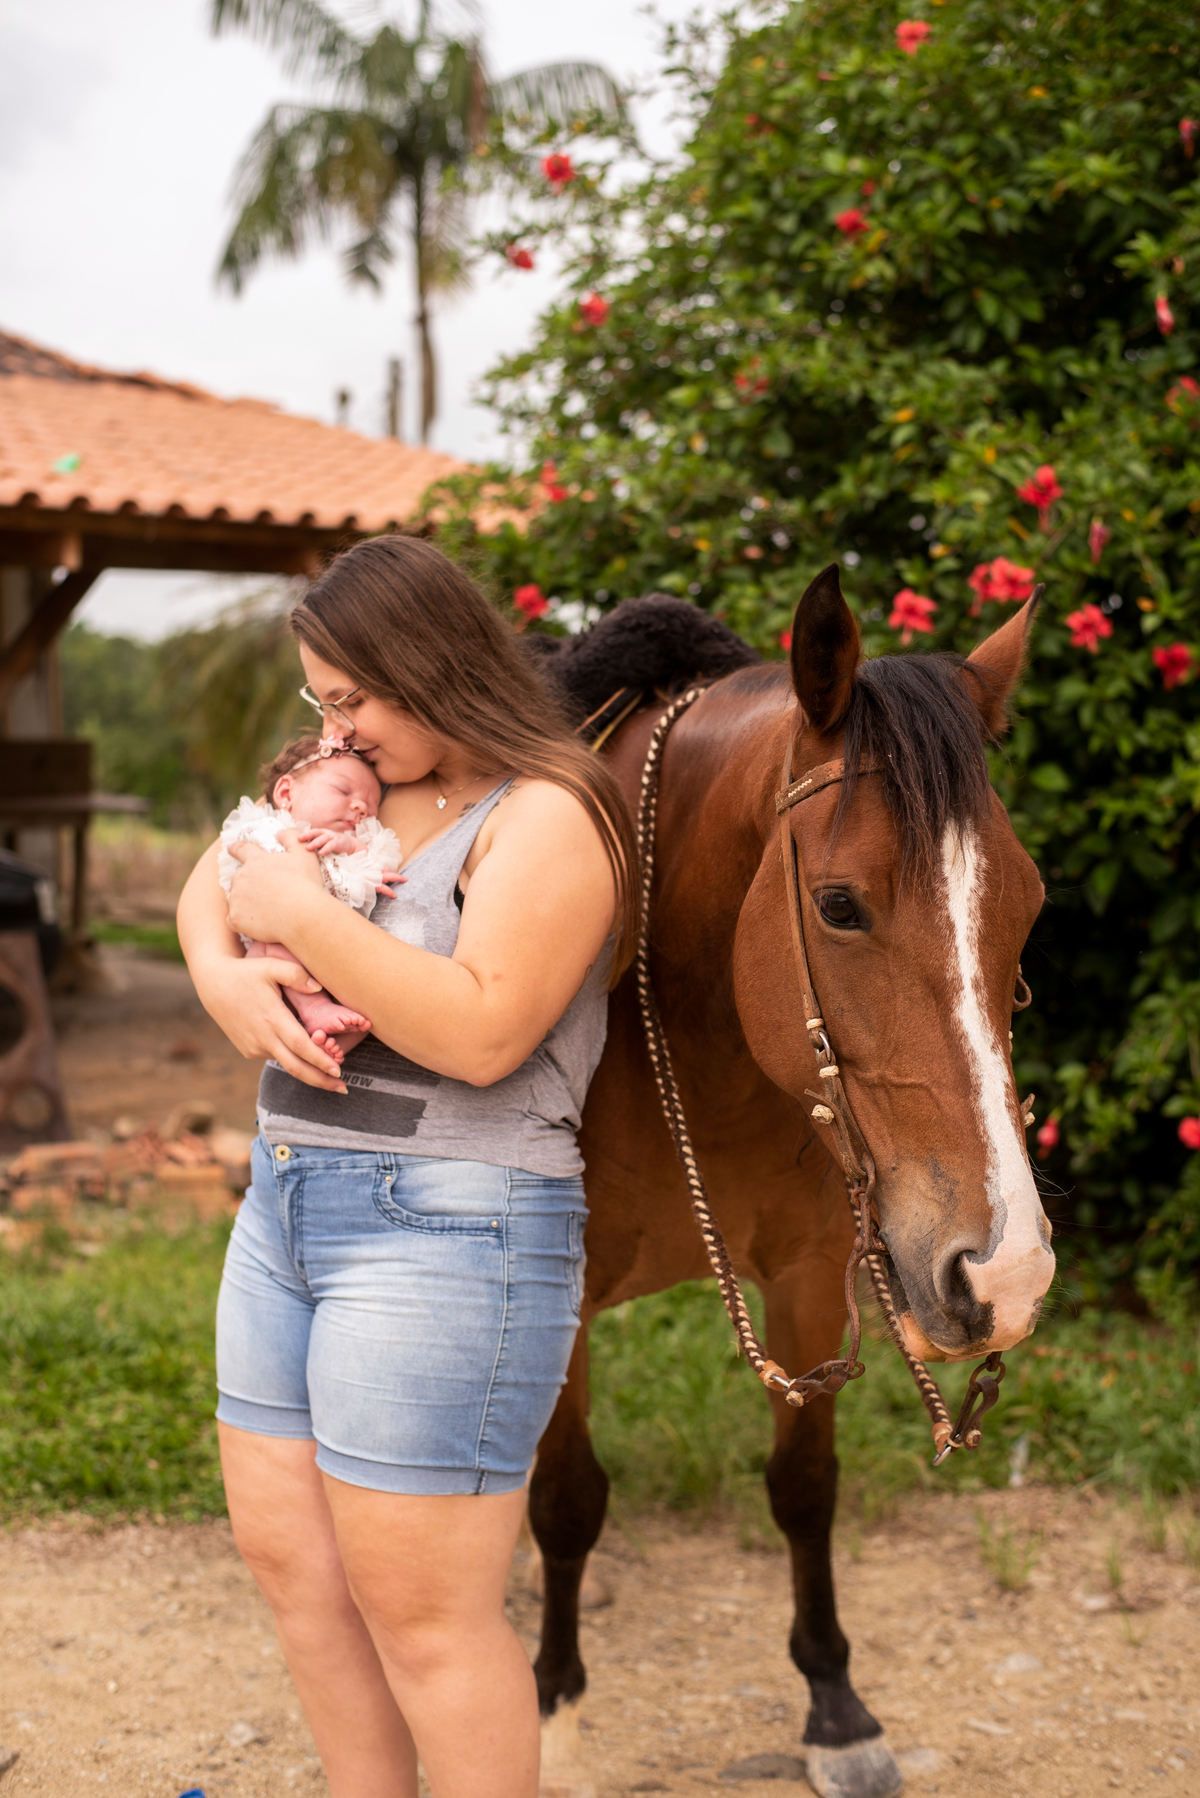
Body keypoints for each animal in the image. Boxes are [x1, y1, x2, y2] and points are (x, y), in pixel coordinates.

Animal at [527, 564, 1055, 1798]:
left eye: (1031, 903)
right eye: (840, 905)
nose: (1005, 1270)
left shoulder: (815, 1277)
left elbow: (805, 1486)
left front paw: (836, 1708)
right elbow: (567, 1500)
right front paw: (556, 1716)